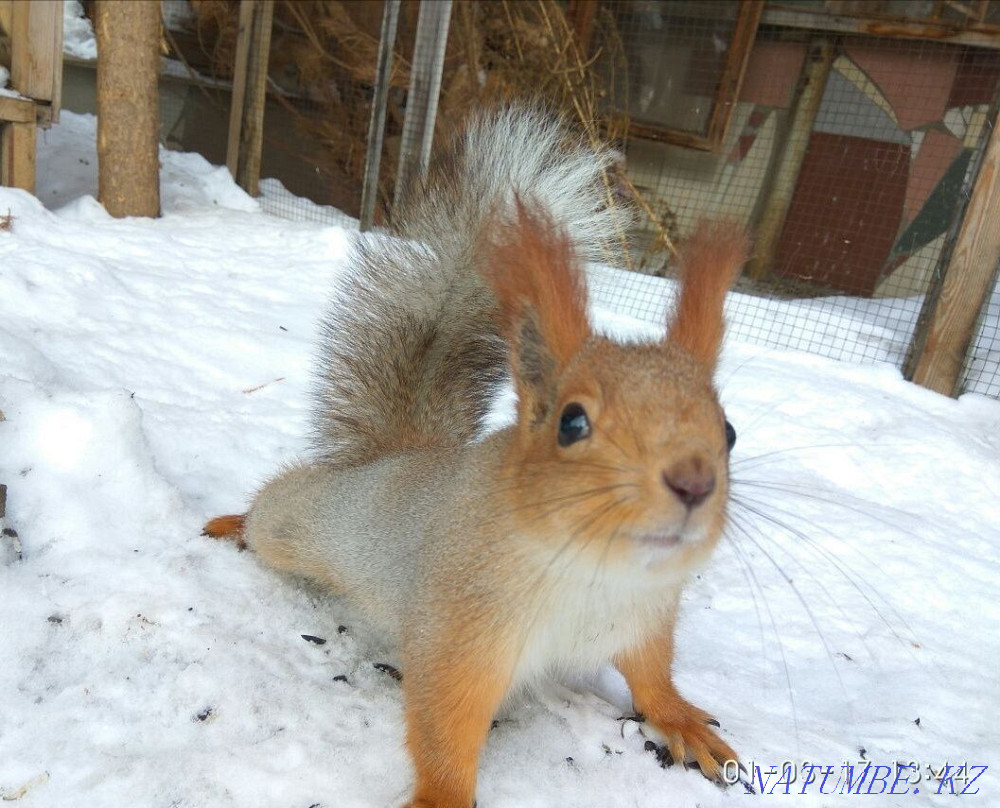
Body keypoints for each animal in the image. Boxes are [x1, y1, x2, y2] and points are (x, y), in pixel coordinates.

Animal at [204, 107, 750, 808]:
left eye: (729, 431)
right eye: (572, 422)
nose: (693, 482)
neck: (597, 570)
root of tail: (399, 458)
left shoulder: (643, 616)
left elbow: (652, 675)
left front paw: (682, 721)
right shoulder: (461, 625)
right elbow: (445, 720)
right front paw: (441, 795)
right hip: (308, 523)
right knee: (274, 512)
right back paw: (234, 523)